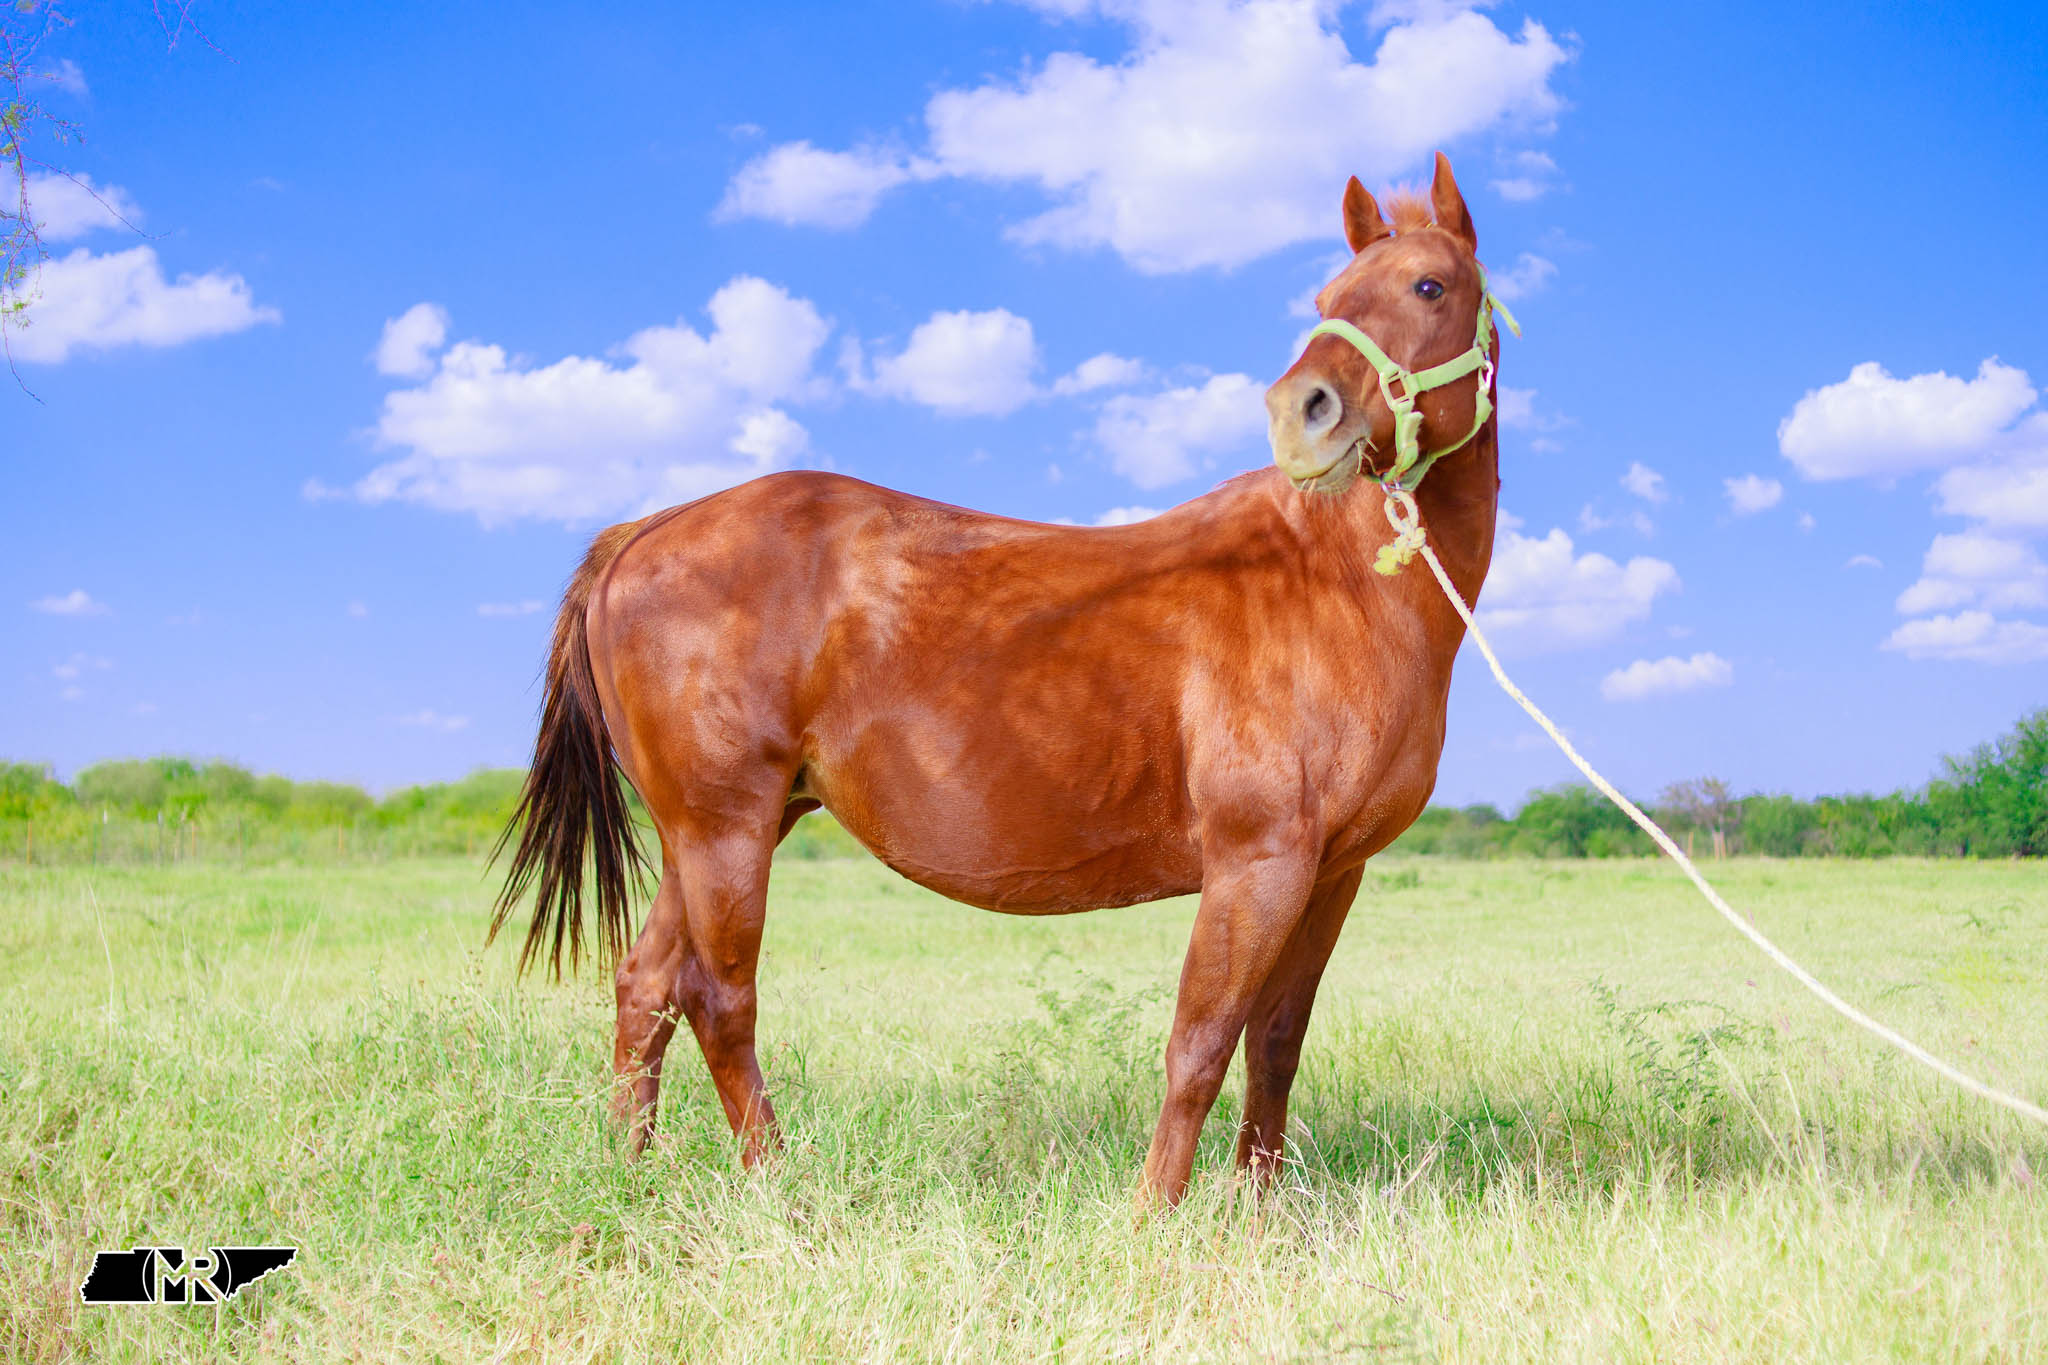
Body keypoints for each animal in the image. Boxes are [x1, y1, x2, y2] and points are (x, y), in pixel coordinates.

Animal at [494, 152, 1505, 1206]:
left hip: (715, 831)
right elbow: (1198, 1044)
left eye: (1428, 286)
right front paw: (1157, 1214)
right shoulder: (1255, 865)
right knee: (718, 997)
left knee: (646, 985)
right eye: (1327, 299)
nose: (1300, 416)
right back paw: (778, 1181)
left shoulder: (1331, 872)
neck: (1330, 583)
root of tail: (642, 531)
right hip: (722, 828)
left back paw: (629, 1168)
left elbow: (1273, 1044)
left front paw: (1258, 1214)